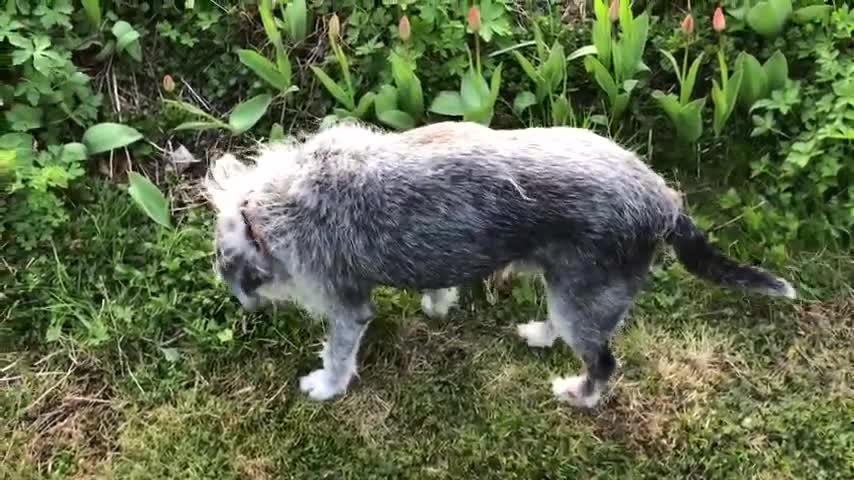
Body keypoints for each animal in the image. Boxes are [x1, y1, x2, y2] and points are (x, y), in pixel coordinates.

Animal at [204, 121, 800, 408]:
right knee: (568, 329)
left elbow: (337, 354)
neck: (269, 206)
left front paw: (326, 387)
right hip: (572, 292)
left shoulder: (348, 309)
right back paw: (539, 334)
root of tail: (666, 202)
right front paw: (438, 305)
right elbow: (439, 286)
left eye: (226, 266)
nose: (240, 303)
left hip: (584, 299)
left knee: (603, 363)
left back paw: (579, 396)